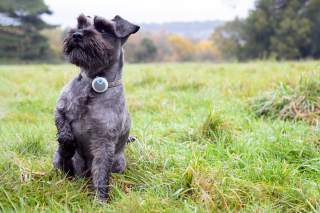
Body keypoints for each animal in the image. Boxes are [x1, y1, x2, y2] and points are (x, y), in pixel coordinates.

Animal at [52, 13, 140, 201]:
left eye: (103, 29)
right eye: (80, 24)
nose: (77, 35)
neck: (94, 82)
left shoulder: (104, 141)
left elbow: (101, 174)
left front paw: (99, 201)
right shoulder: (60, 110)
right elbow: (64, 133)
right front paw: (66, 147)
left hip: (119, 163)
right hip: (58, 162)